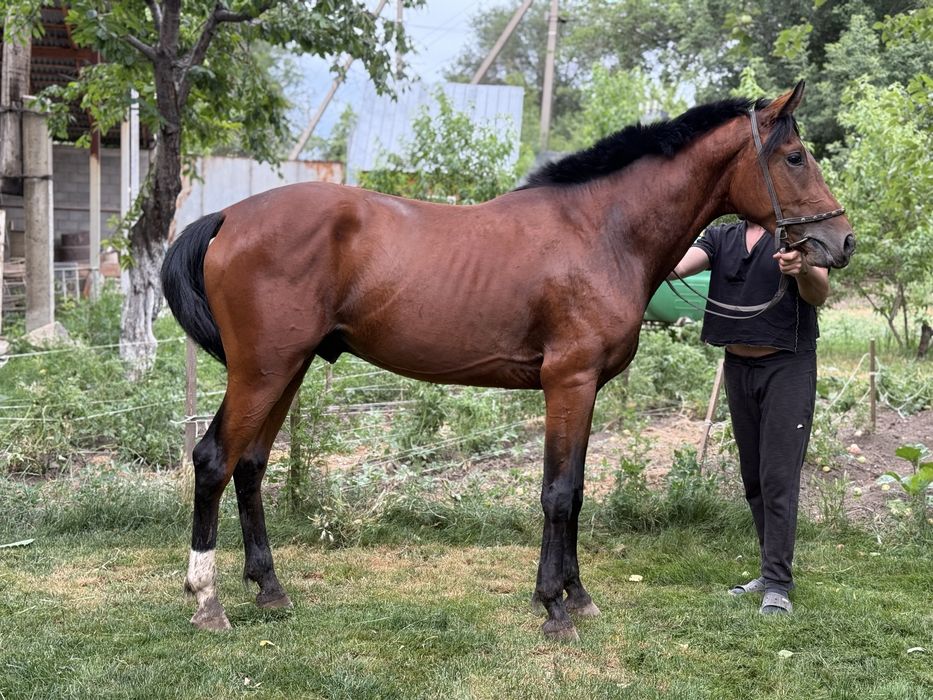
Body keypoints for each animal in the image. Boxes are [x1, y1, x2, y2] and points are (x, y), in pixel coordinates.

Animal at [161, 81, 854, 640]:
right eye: (795, 156)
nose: (841, 241)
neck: (601, 231)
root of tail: (228, 217)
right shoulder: (568, 383)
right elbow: (558, 492)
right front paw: (554, 606)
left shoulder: (588, 389)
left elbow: (576, 491)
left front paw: (578, 596)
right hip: (263, 370)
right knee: (213, 460)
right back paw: (207, 600)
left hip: (289, 369)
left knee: (250, 466)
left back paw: (270, 589)